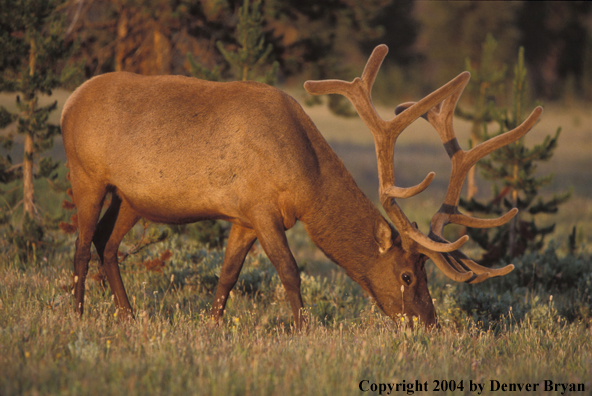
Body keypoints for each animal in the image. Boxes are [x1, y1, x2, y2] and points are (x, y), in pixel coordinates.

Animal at [63, 44, 540, 328]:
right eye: (407, 274)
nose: (429, 322)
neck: (306, 180)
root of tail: (69, 101)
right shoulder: (261, 208)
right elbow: (290, 271)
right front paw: (302, 329)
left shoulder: (244, 216)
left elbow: (227, 276)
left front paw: (212, 326)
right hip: (85, 175)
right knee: (82, 246)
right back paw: (77, 314)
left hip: (130, 197)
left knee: (106, 243)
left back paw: (128, 315)